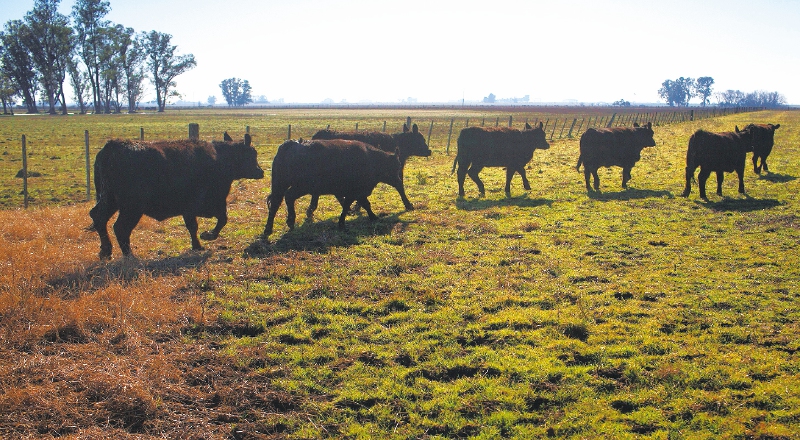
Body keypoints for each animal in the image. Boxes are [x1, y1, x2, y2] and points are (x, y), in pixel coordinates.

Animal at [88, 134, 264, 258]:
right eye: (252, 154)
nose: (260, 172)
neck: (220, 159)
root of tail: (112, 147)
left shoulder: (190, 209)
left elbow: (193, 226)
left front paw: (197, 245)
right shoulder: (212, 203)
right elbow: (221, 220)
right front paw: (207, 236)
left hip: (110, 201)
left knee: (98, 217)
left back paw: (106, 251)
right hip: (131, 208)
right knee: (120, 228)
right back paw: (129, 255)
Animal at [264, 140, 404, 237]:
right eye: (396, 167)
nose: (399, 180)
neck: (372, 159)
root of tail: (292, 144)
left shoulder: (357, 193)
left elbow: (363, 204)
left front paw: (373, 217)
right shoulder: (354, 192)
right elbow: (350, 205)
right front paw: (342, 223)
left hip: (280, 185)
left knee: (275, 203)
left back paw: (268, 229)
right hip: (301, 187)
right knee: (288, 197)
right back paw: (290, 221)